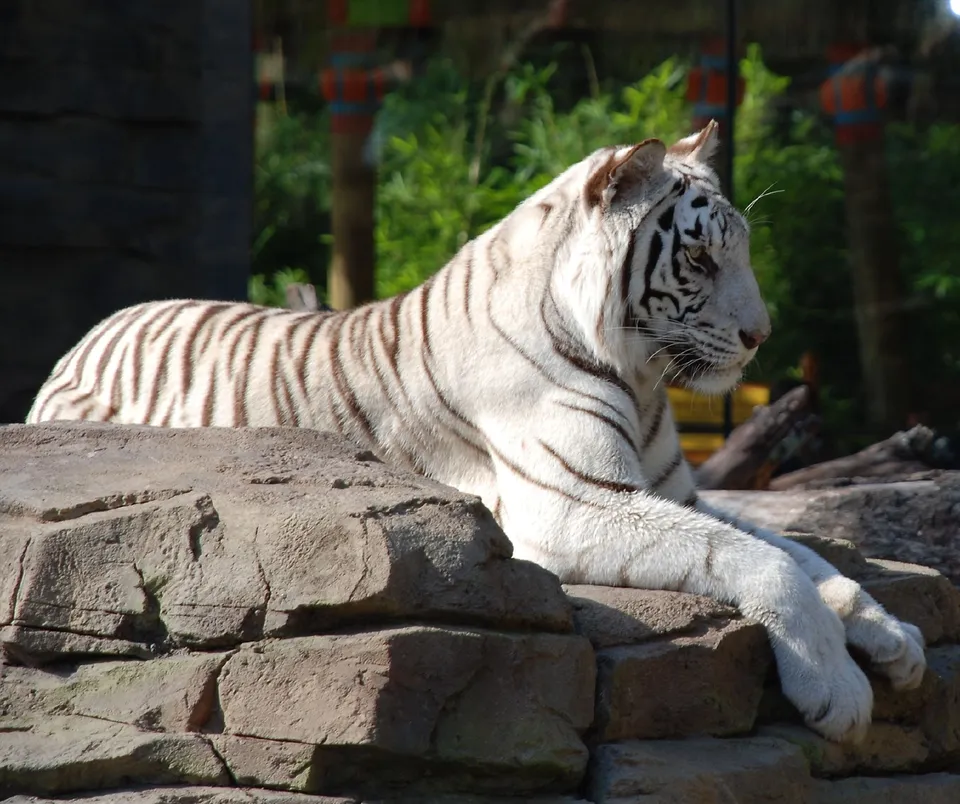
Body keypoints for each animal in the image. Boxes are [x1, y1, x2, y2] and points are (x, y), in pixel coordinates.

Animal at [27, 121, 926, 743]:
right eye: (702, 260)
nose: (760, 338)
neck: (639, 376)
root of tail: (86, 336)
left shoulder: (679, 491)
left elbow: (802, 553)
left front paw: (893, 637)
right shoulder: (570, 502)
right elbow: (763, 562)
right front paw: (838, 689)